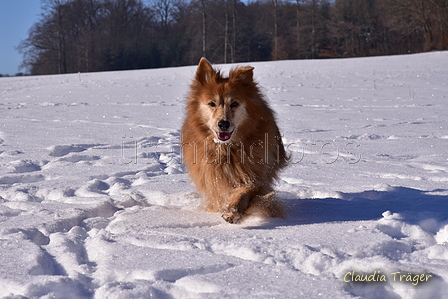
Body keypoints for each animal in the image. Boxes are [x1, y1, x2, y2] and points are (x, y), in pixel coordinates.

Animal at [180, 58, 288, 223]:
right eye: (212, 104)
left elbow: (245, 190)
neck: (227, 150)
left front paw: (232, 211)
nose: (223, 124)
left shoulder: (256, 176)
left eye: (234, 104)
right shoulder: (212, 178)